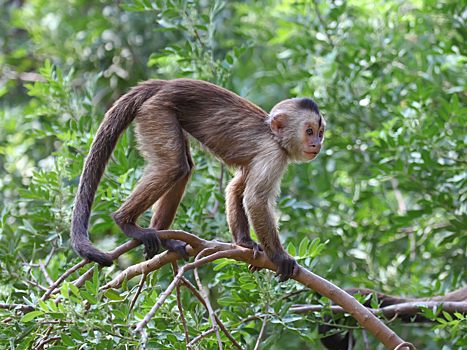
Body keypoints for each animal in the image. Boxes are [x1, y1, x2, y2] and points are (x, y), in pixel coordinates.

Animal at [70, 78, 326, 282]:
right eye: (309, 131)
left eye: (320, 133)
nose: (317, 144)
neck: (275, 136)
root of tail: (165, 84)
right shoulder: (273, 154)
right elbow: (255, 200)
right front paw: (279, 257)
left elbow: (236, 189)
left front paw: (244, 243)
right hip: (156, 112)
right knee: (174, 167)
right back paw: (126, 222)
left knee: (183, 168)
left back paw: (164, 238)